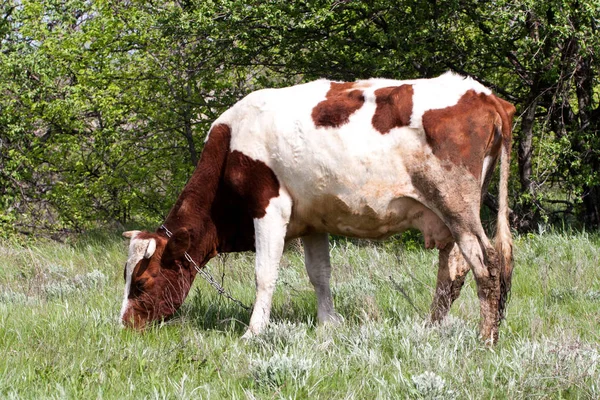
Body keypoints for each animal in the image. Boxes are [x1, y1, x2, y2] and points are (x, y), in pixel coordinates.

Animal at [118, 72, 516, 344]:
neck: (230, 142)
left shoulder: (269, 207)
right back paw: (431, 330)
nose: (124, 324)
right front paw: (329, 324)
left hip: (456, 205)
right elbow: (320, 275)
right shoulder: (312, 221)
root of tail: (484, 95)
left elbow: (265, 273)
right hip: (450, 216)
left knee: (487, 264)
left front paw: (253, 333)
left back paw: (486, 339)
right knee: (452, 273)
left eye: (141, 281)